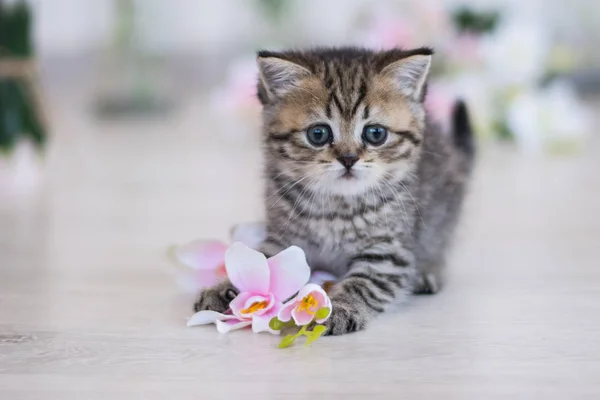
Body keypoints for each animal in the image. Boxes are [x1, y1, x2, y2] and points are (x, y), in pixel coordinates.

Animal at [195, 46, 476, 334]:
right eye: (318, 133)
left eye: (375, 133)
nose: (349, 158)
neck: (336, 205)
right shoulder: (284, 238)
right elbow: (262, 262)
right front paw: (228, 289)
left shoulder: (389, 251)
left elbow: (363, 284)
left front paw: (338, 308)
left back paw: (427, 271)